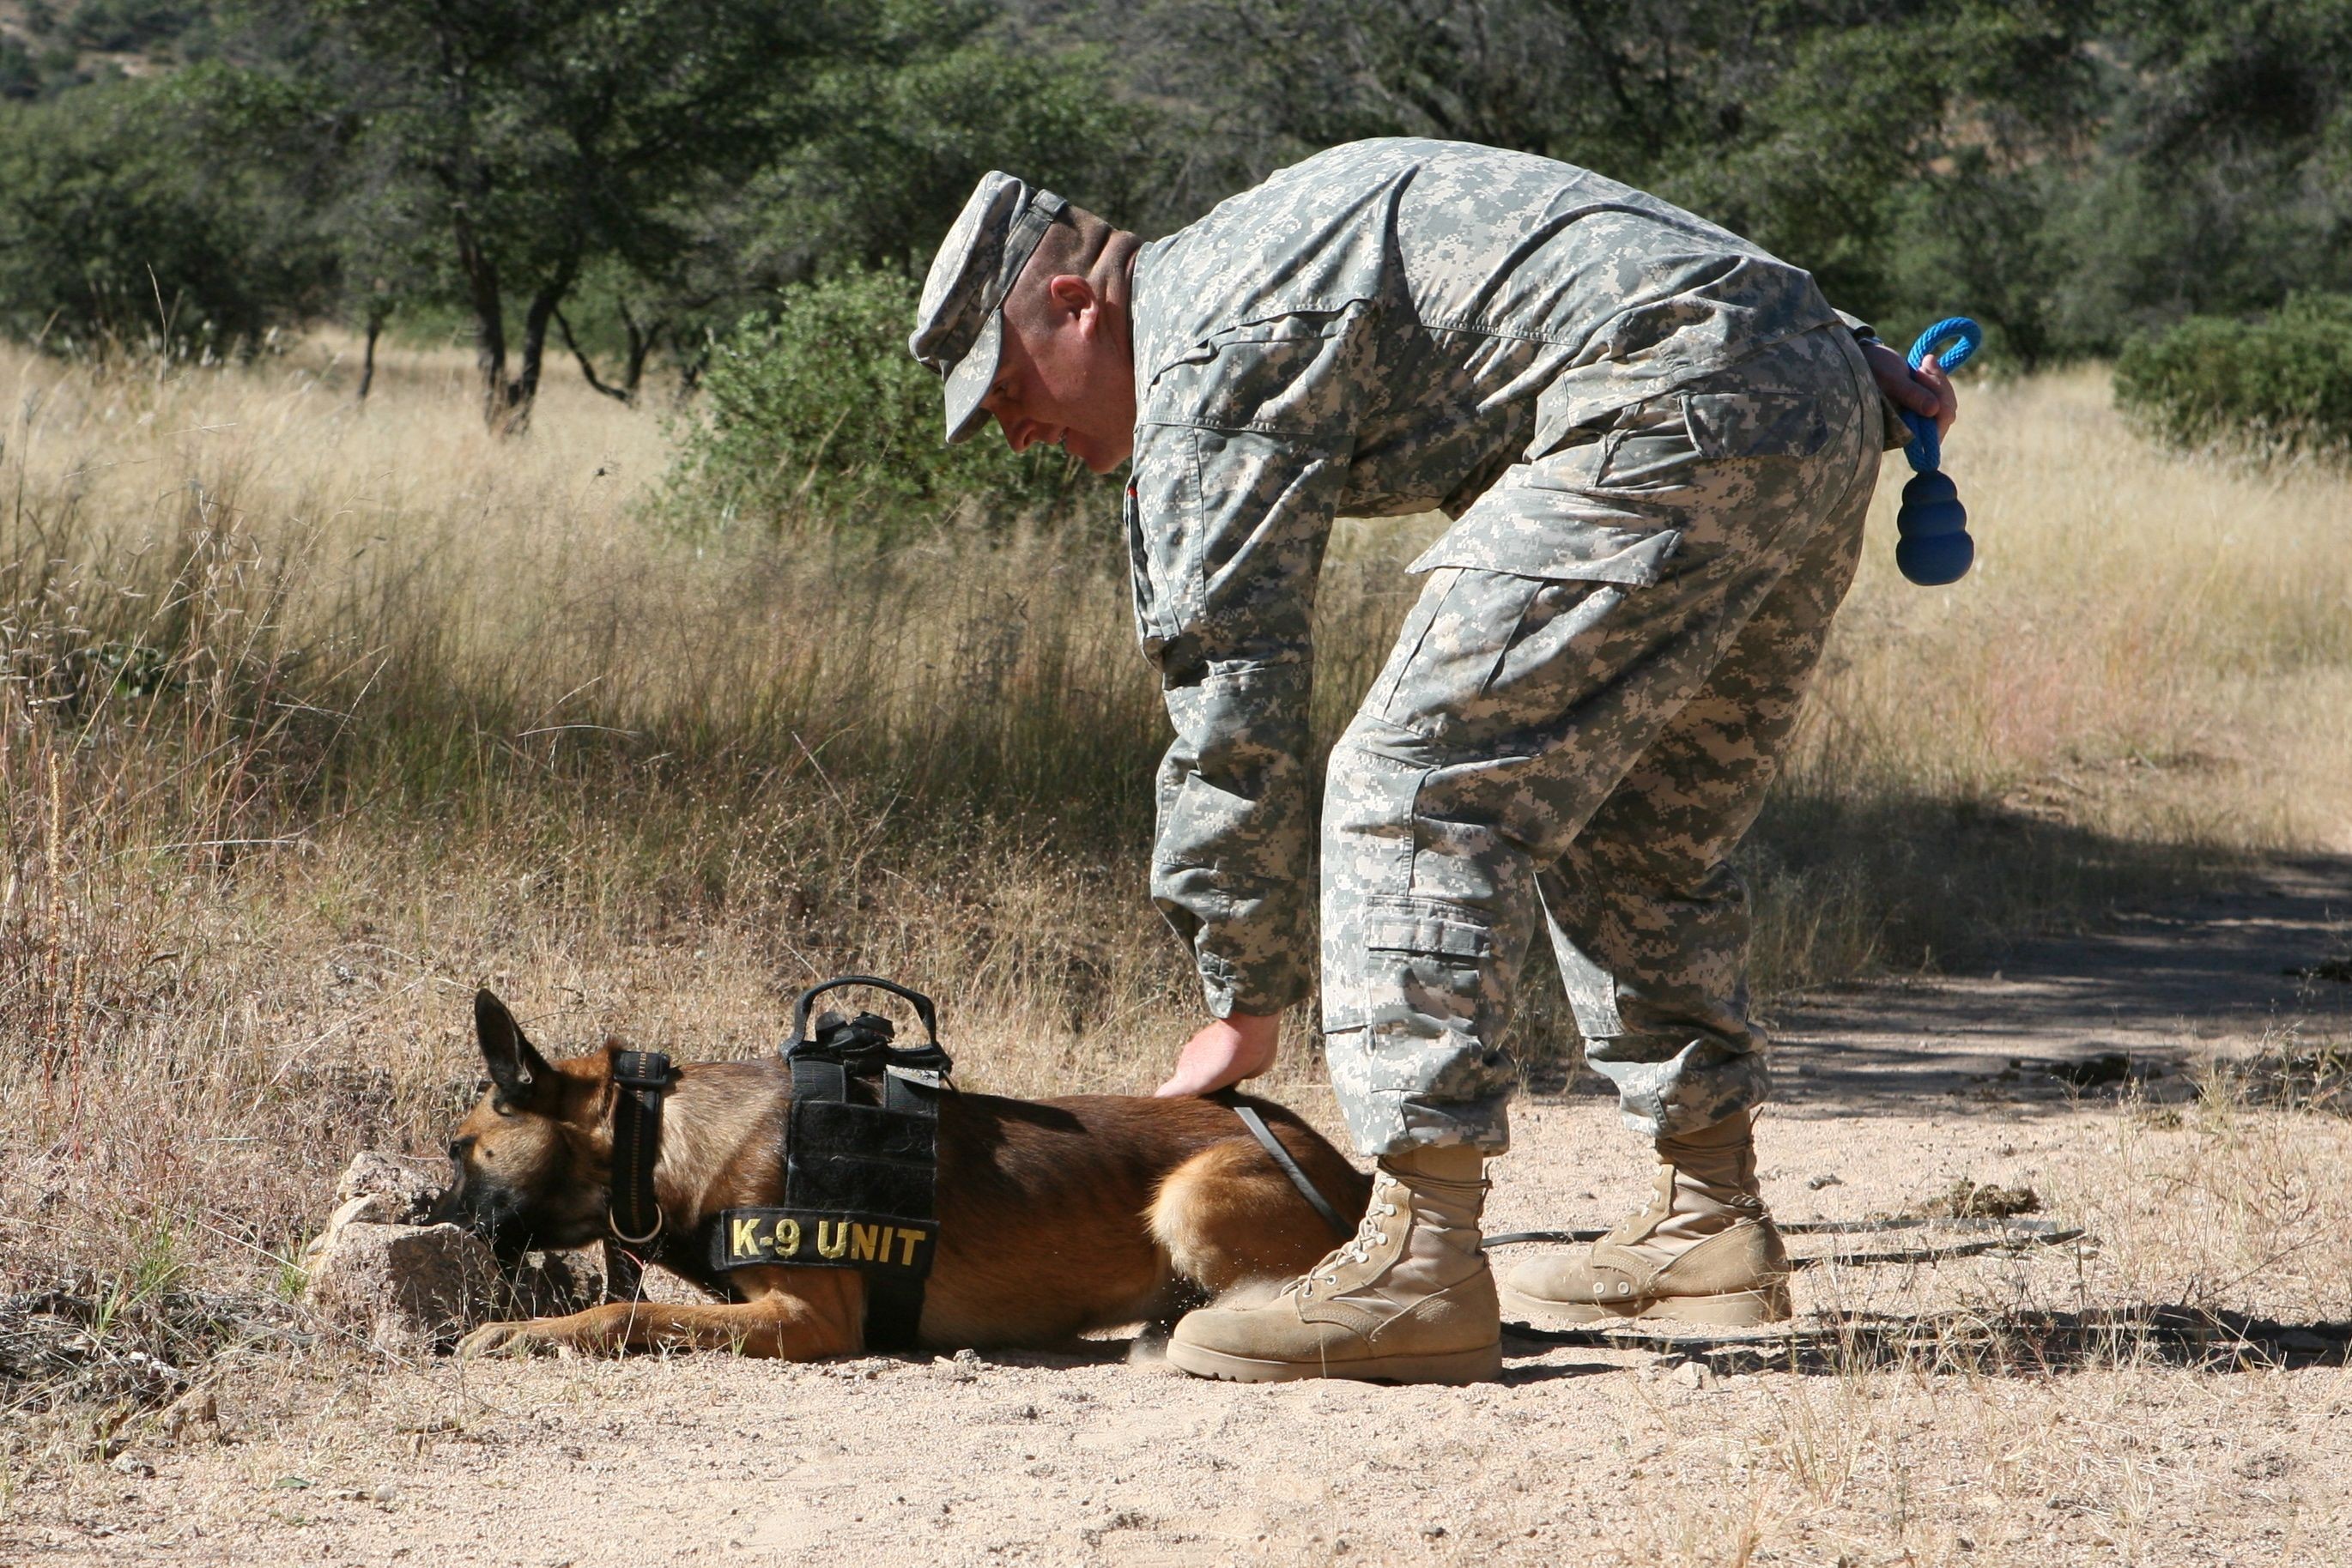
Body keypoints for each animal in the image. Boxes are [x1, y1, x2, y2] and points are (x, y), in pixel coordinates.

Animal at [433, 991, 1373, 1363]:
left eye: (458, 1146)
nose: (432, 1214)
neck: (653, 1137)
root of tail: (1352, 1176)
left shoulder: (811, 1319)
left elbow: (628, 1311)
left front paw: (524, 1333)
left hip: (1192, 1195)